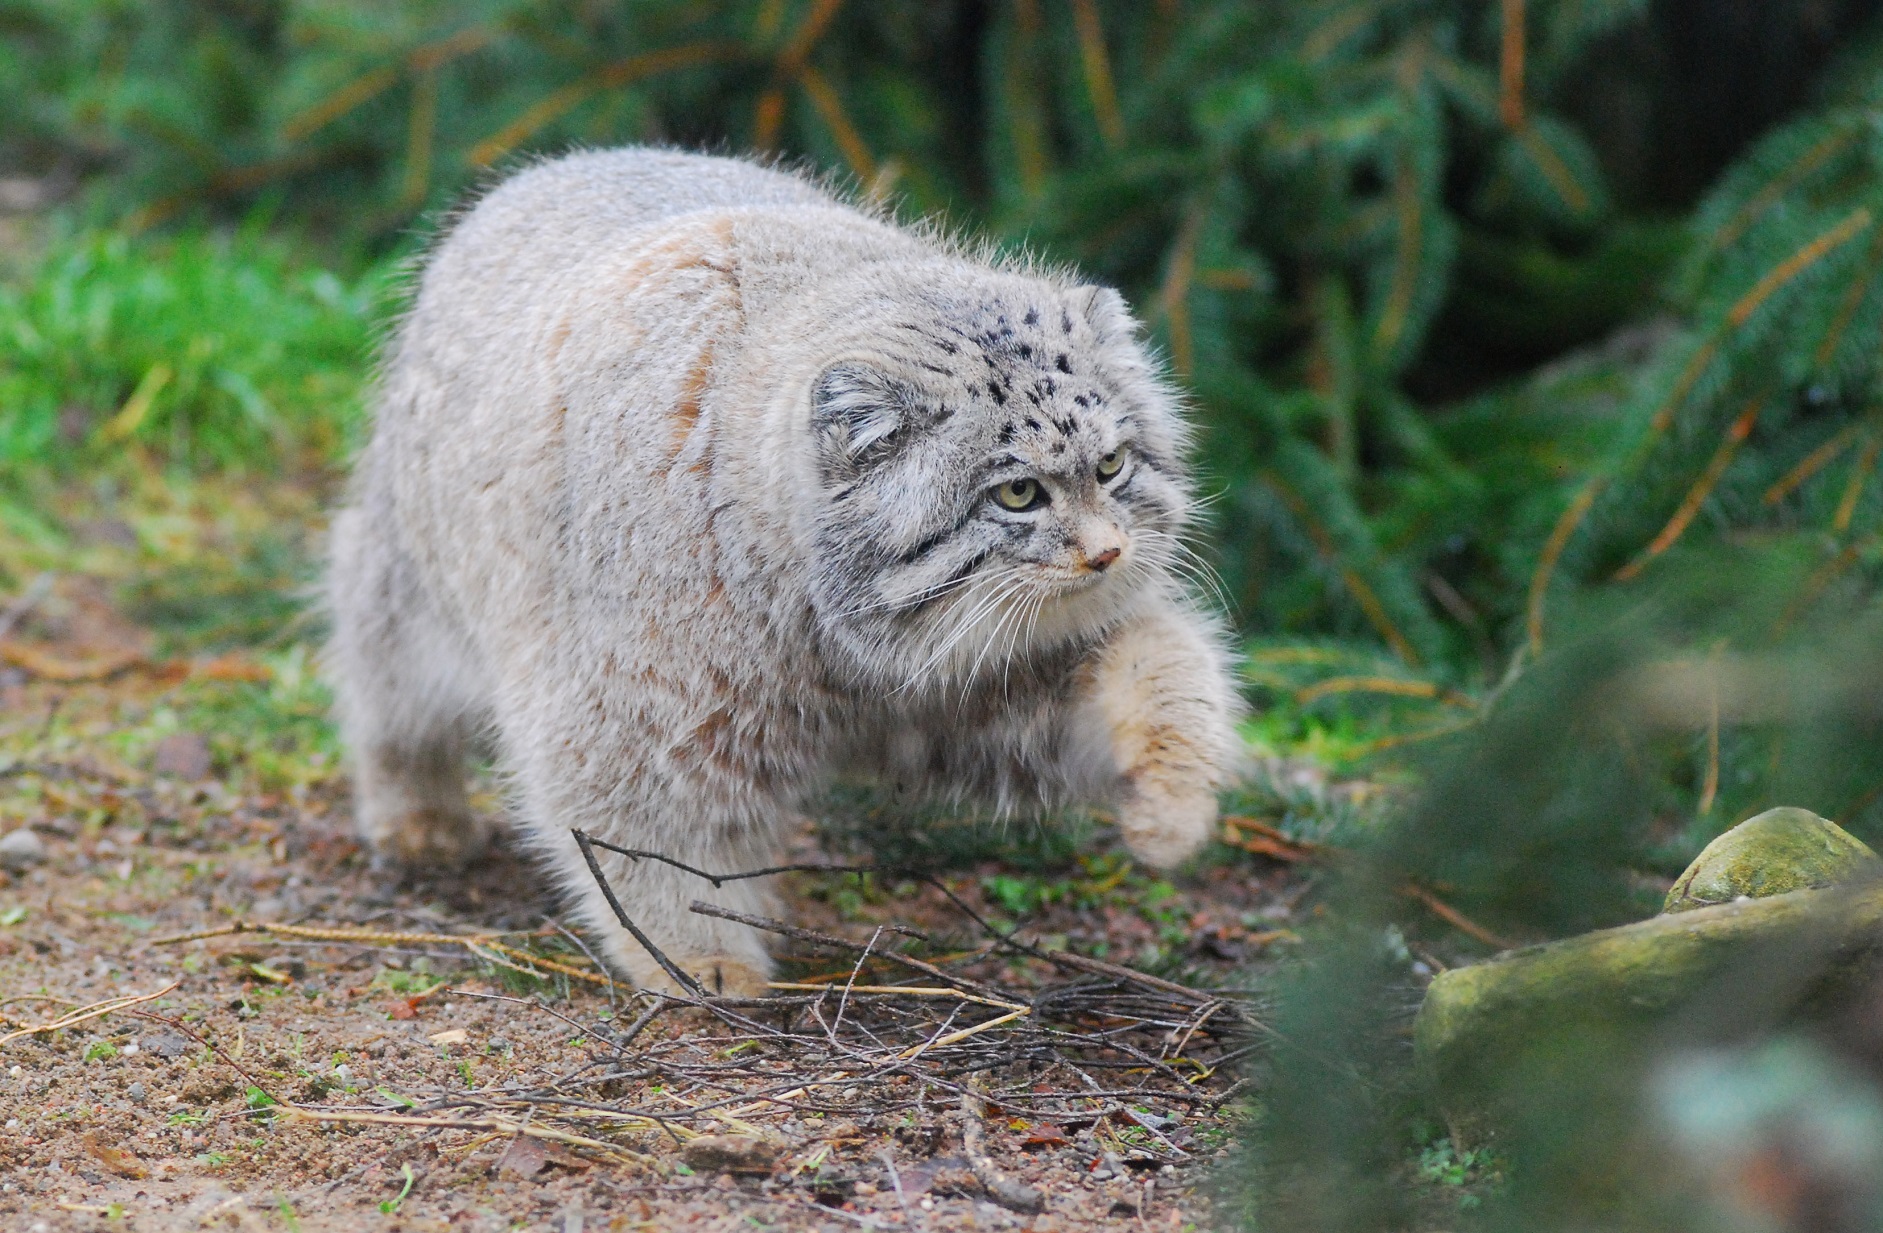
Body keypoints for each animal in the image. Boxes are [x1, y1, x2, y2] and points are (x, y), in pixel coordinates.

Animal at [325, 149, 1250, 1001]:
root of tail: (559, 163)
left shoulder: (981, 684)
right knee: (384, 682)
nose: (1107, 553)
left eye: (1112, 465)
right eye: (1018, 492)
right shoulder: (630, 703)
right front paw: (695, 952)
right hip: (410, 578)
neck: (826, 628)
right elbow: (647, 835)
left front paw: (1172, 802)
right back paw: (414, 808)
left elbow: (1163, 666)